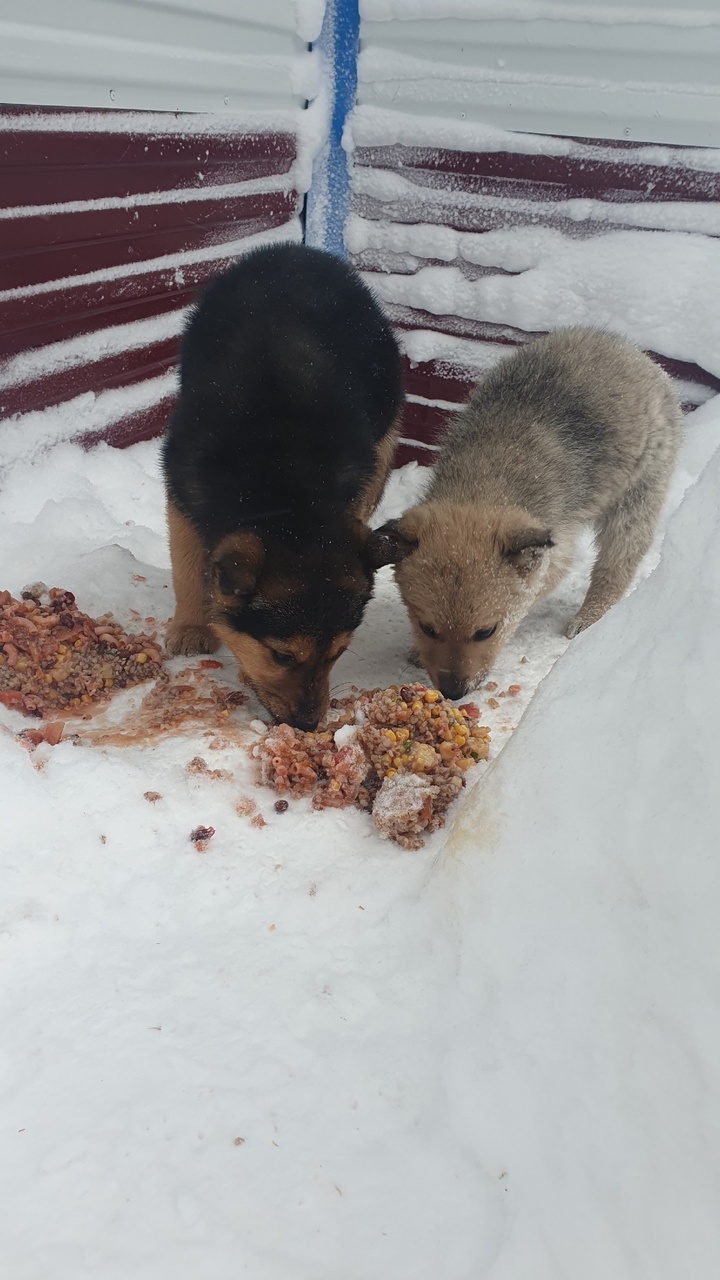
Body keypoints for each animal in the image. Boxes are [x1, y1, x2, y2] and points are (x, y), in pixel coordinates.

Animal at [158, 240, 399, 732]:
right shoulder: (184, 490)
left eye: (339, 653)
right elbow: (189, 566)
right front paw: (192, 624)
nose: (307, 725)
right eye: (281, 656)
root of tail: (297, 250)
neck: (285, 495)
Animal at [379, 325, 681, 696]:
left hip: (637, 496)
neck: (483, 483)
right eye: (427, 628)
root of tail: (633, 352)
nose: (453, 692)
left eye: (486, 632)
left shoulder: (555, 552)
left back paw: (590, 618)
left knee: (617, 565)